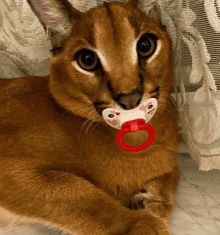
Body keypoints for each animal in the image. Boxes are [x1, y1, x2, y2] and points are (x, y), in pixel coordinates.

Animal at [0, 0, 180, 234]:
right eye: (87, 60)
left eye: (145, 46)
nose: (129, 97)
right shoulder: (9, 166)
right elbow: (75, 192)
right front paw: (140, 224)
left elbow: (171, 172)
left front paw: (153, 200)